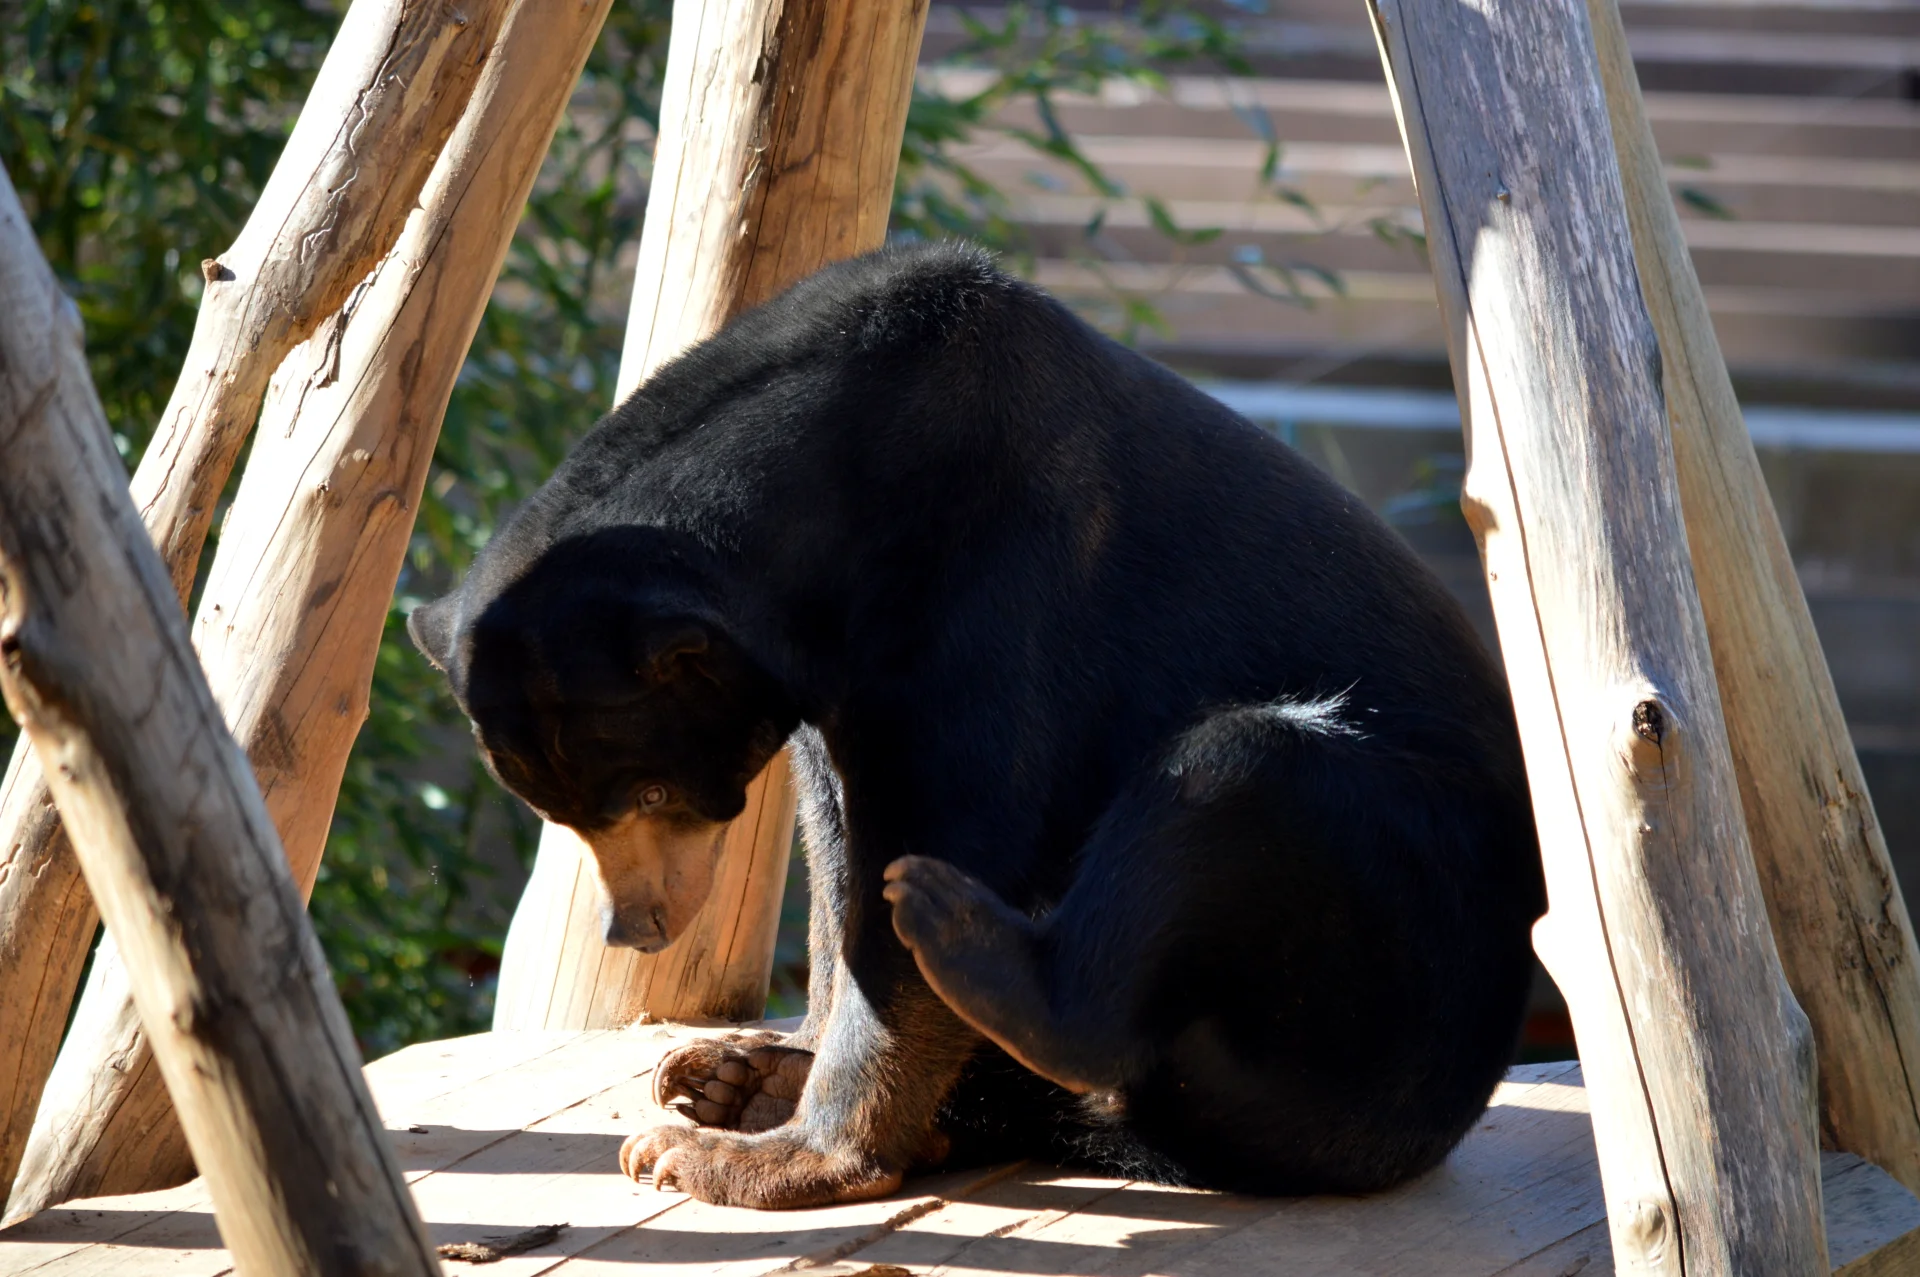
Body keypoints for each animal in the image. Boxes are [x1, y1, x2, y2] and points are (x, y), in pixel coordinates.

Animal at [408, 241, 1545, 1210]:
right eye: (566, 816)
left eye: (649, 790)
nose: (635, 925)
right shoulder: (826, 681)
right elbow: (833, 850)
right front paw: (773, 1073)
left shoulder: (993, 583)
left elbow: (945, 822)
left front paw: (774, 1156)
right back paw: (741, 1074)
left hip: (1395, 928)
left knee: (1242, 770)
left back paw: (962, 947)